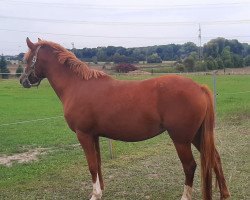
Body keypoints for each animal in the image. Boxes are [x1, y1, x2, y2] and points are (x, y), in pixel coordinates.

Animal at [20, 38, 230, 199]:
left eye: (28, 59)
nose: (22, 81)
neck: (77, 85)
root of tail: (198, 87)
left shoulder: (83, 135)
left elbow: (91, 165)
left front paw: (95, 194)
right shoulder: (94, 135)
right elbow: (98, 163)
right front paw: (101, 191)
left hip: (181, 139)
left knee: (190, 166)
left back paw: (185, 196)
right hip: (197, 135)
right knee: (215, 158)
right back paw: (225, 194)